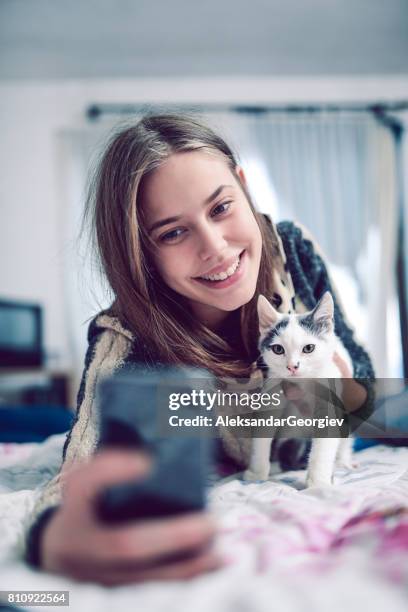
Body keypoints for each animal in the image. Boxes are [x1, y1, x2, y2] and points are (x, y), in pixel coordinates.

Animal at [244, 292, 356, 488]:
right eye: (278, 349)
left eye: (309, 348)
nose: (292, 366)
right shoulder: (274, 386)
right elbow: (262, 433)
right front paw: (256, 473)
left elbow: (325, 442)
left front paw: (318, 483)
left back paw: (342, 462)